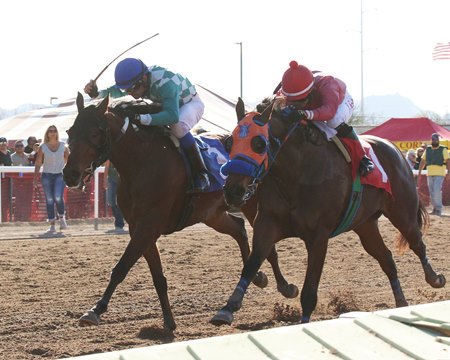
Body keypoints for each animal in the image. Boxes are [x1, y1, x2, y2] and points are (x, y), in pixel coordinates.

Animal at [60, 93, 298, 332]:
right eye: (70, 132)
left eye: (94, 133)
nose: (70, 174)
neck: (142, 163)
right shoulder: (139, 227)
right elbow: (157, 276)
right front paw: (168, 320)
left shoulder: (149, 225)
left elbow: (121, 267)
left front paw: (96, 310)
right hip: (212, 213)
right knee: (239, 228)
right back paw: (258, 276)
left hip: (249, 203)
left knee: (267, 246)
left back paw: (285, 286)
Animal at [212, 98, 446, 326]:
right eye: (229, 143)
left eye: (258, 143)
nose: (233, 191)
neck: (297, 173)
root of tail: (394, 149)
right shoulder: (267, 224)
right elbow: (252, 264)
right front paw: (228, 308)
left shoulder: (318, 236)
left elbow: (309, 289)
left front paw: (304, 321)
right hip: (366, 225)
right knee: (387, 259)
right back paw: (401, 303)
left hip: (403, 214)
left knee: (417, 243)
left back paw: (435, 278)